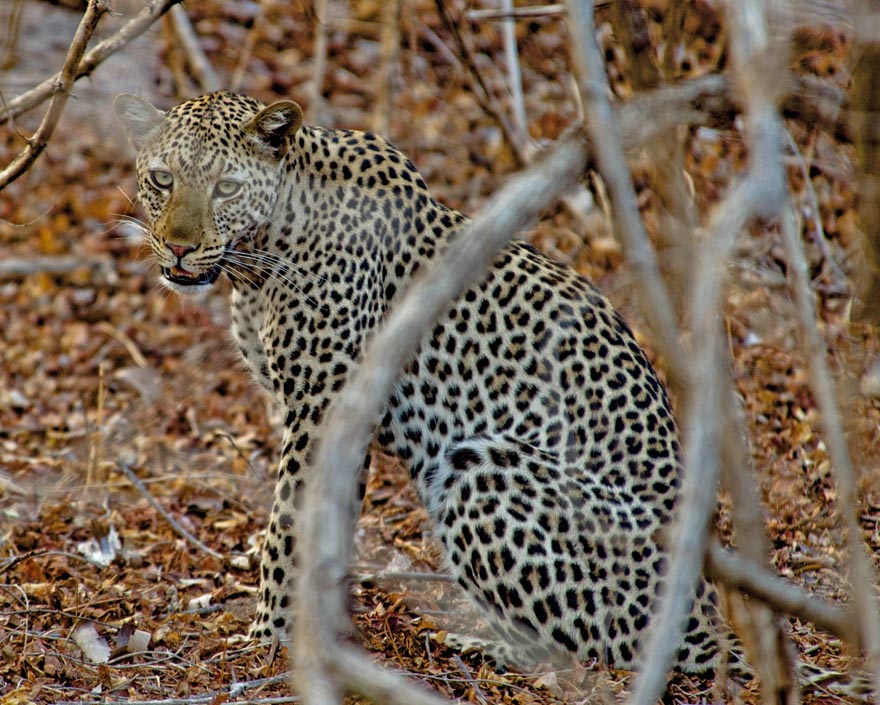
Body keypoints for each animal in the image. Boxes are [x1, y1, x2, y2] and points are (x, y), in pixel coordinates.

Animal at [115, 89, 736, 676]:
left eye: (226, 187)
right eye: (162, 179)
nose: (179, 247)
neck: (259, 262)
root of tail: (708, 620)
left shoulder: (326, 406)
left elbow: (291, 520)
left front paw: (271, 634)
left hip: (482, 467)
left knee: (593, 649)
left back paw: (479, 645)